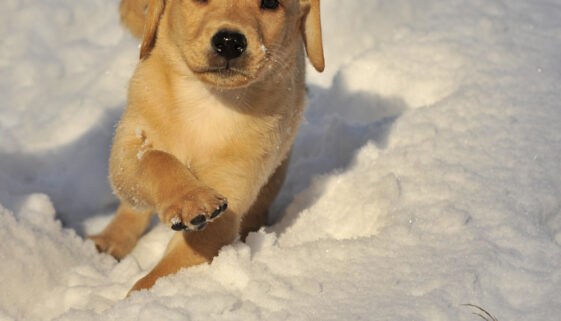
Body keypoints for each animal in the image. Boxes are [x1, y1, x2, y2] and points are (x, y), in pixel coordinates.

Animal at [87, 0, 324, 292]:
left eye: (270, 3)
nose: (230, 42)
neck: (207, 102)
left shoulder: (227, 201)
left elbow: (160, 275)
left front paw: (140, 298)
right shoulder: (128, 148)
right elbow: (156, 159)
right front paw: (190, 198)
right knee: (132, 207)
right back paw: (109, 240)